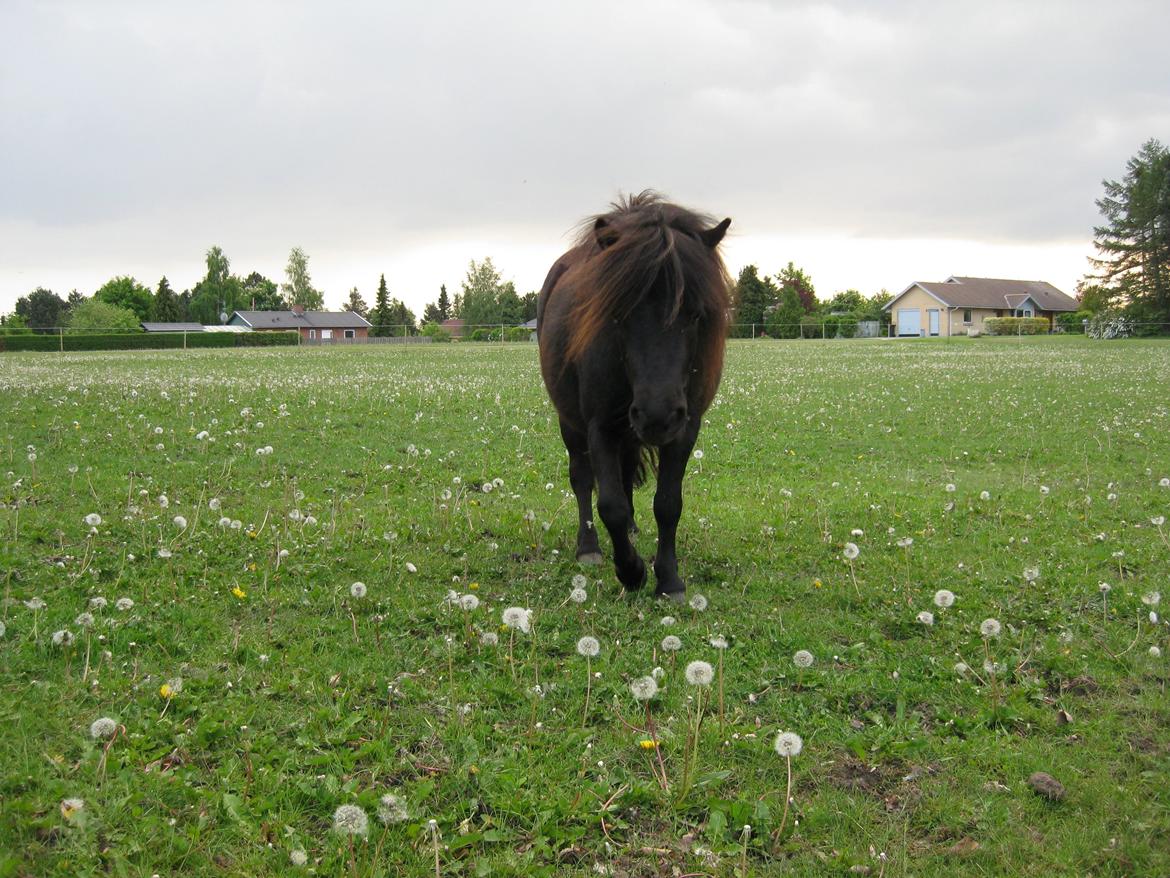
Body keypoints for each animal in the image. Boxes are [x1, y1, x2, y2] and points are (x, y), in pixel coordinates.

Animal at [535, 191, 730, 604]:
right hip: (574, 423)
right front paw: (632, 571)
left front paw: (669, 579)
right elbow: (609, 504)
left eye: (696, 314)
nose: (658, 415)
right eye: (620, 312)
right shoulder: (599, 427)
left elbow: (668, 504)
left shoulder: (685, 428)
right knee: (582, 479)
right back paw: (590, 546)